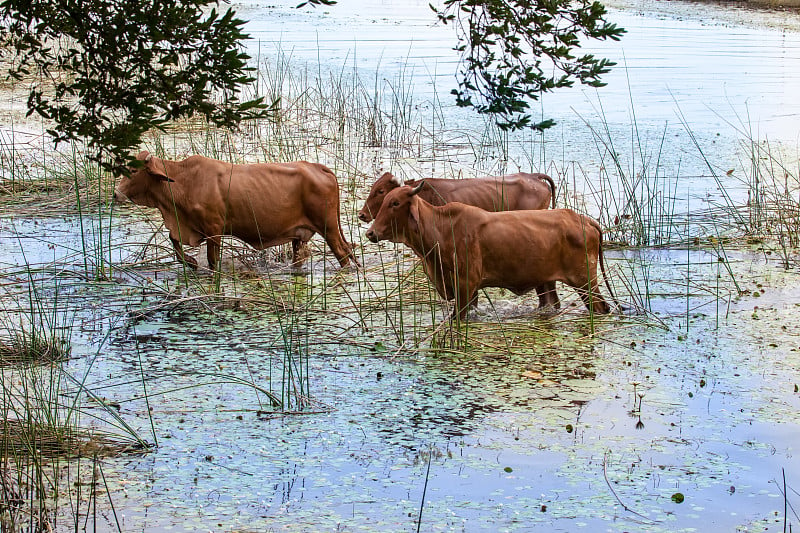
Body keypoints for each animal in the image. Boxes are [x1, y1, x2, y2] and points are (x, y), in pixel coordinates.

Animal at [114, 152, 354, 272]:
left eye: (134, 169)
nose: (116, 193)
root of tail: (316, 166)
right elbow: (174, 242)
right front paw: (190, 262)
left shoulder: (213, 229)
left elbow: (212, 261)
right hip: (300, 234)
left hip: (328, 227)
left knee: (343, 254)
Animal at [366, 183, 616, 320]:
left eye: (395, 203)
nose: (370, 233)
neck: (442, 229)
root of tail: (583, 219)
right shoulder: (468, 290)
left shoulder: (465, 285)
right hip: (547, 281)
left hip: (585, 281)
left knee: (600, 307)